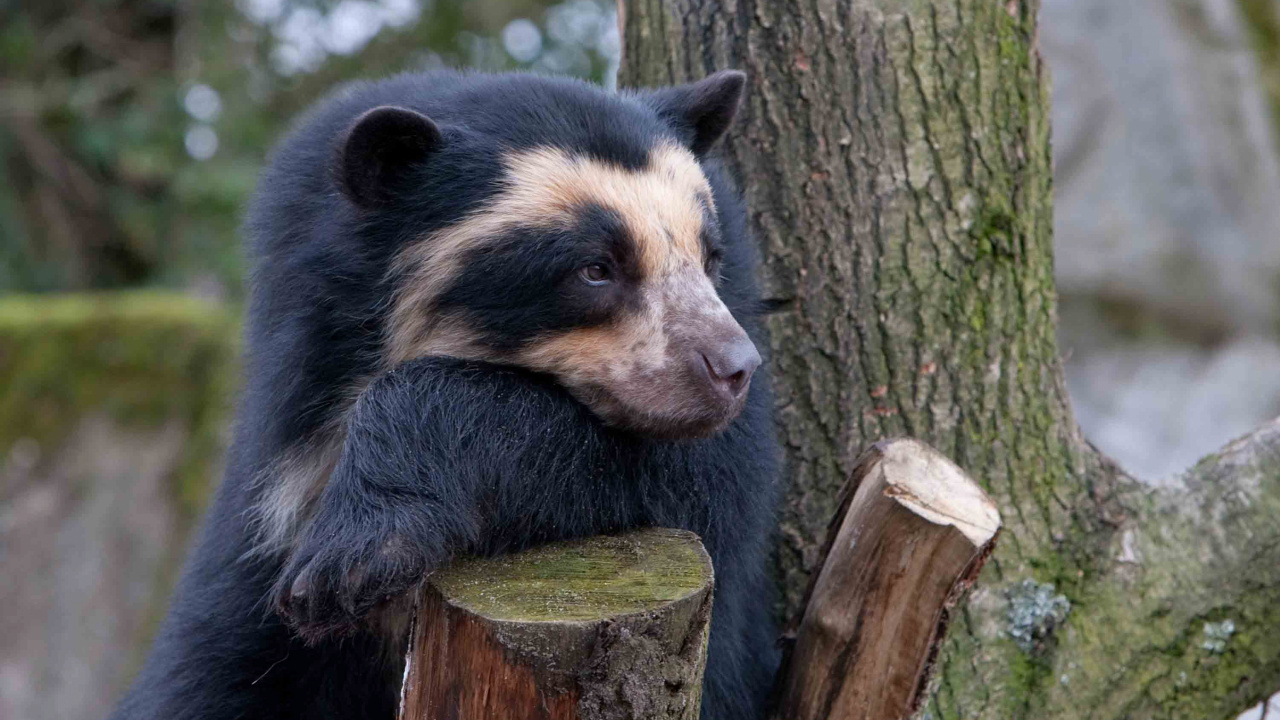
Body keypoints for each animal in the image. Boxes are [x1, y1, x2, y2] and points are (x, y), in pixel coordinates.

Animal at [109, 69, 780, 720]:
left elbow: (700, 481)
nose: (734, 368)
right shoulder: (275, 471)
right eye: (595, 268)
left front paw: (346, 561)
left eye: (710, 257)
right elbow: (209, 670)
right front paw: (333, 581)